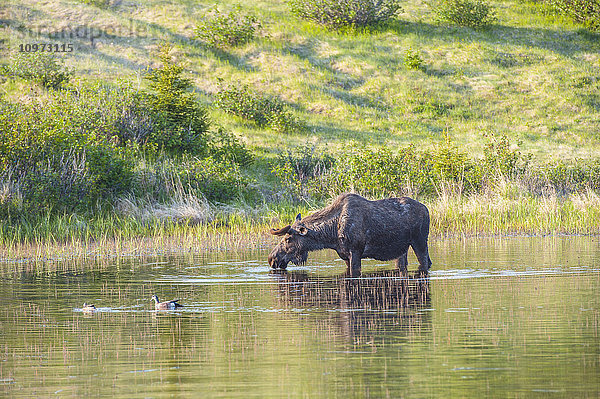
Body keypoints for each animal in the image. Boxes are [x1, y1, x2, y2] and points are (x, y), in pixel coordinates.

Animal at [268, 193, 432, 276]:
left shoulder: (356, 251)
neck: (331, 236)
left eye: (288, 239)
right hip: (402, 249)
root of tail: (427, 209)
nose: (272, 258)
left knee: (426, 262)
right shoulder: (345, 255)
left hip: (420, 241)